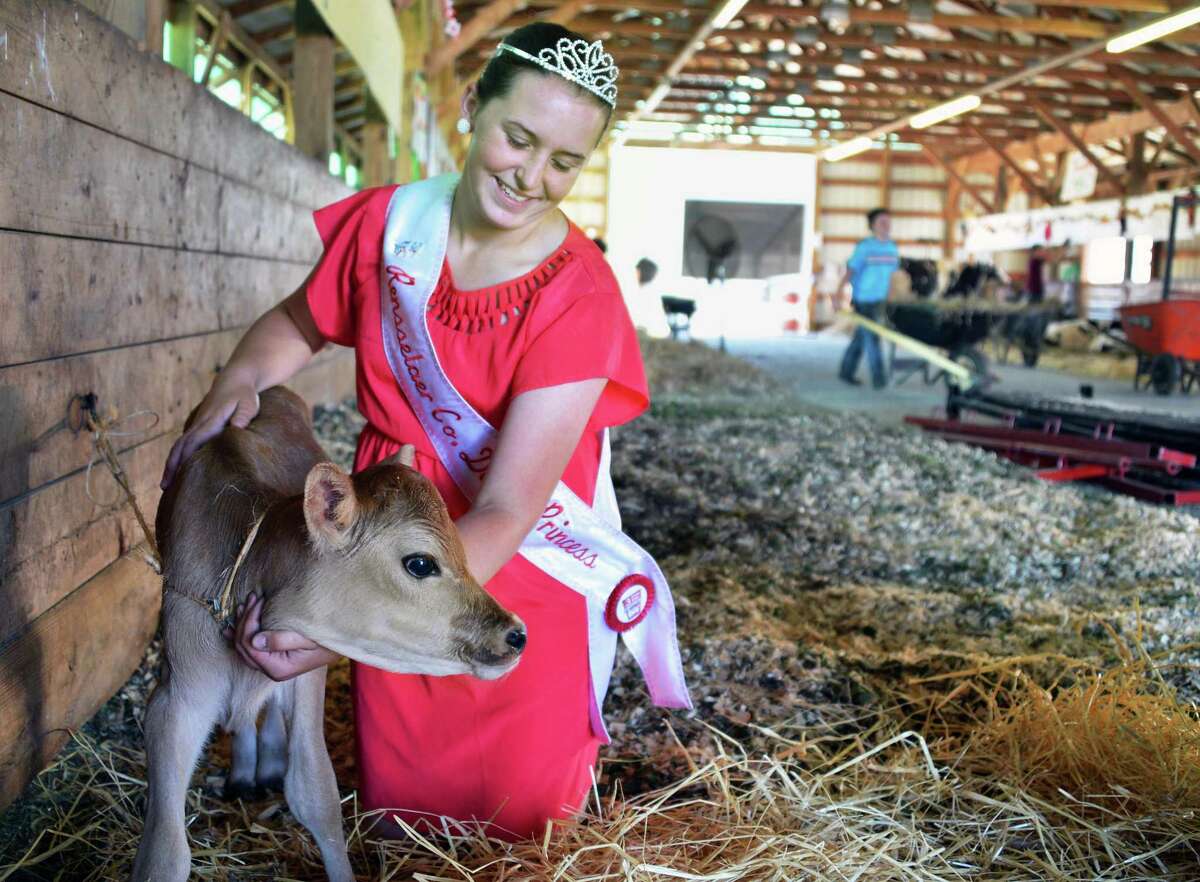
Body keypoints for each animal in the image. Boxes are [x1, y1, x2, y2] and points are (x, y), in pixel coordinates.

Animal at [132, 388, 525, 882]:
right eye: (420, 563)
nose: (515, 634)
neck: (245, 571)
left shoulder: (303, 677)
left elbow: (316, 792)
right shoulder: (175, 699)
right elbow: (164, 852)